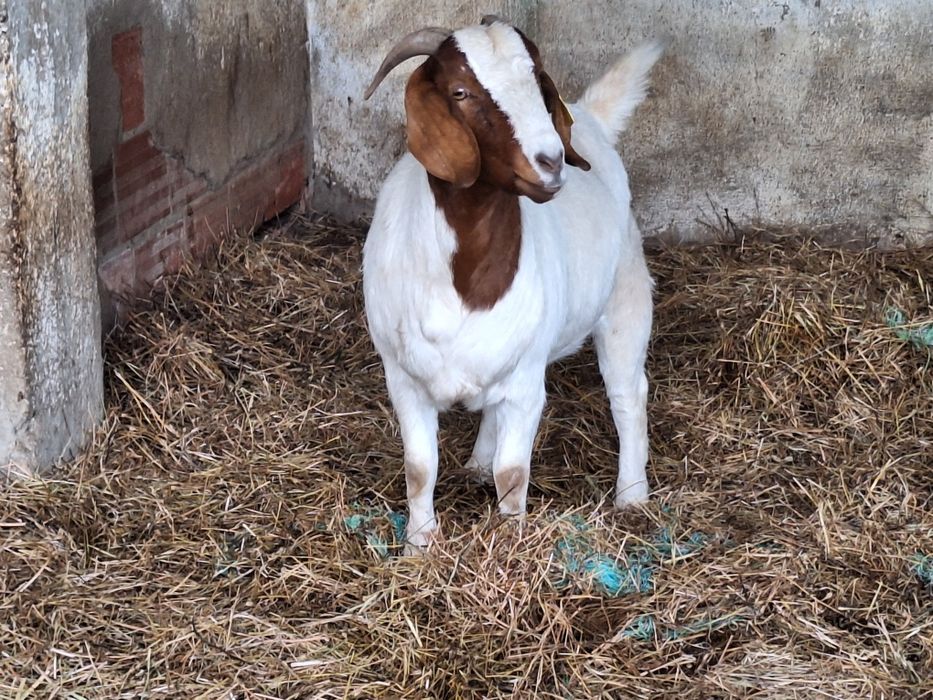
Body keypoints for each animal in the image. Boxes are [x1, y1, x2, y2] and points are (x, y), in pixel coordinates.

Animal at [362, 17, 662, 553]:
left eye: (540, 85)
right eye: (460, 92)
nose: (552, 161)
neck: (465, 281)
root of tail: (592, 120)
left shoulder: (526, 382)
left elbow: (513, 473)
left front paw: (509, 543)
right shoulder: (402, 376)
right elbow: (419, 469)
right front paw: (419, 545)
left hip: (625, 294)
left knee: (629, 395)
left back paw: (631, 495)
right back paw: (477, 462)